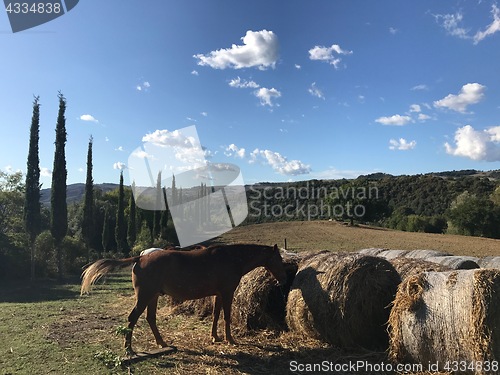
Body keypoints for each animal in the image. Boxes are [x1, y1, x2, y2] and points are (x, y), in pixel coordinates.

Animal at [81, 245, 286, 354]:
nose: (284, 278)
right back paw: (129, 349)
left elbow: (215, 315)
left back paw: (162, 343)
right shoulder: (227, 293)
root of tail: (140, 258)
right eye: (280, 259)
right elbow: (226, 317)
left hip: (153, 296)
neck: (231, 258)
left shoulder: (219, 294)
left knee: (150, 318)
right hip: (145, 296)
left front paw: (215, 337)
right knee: (132, 318)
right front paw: (230, 339)